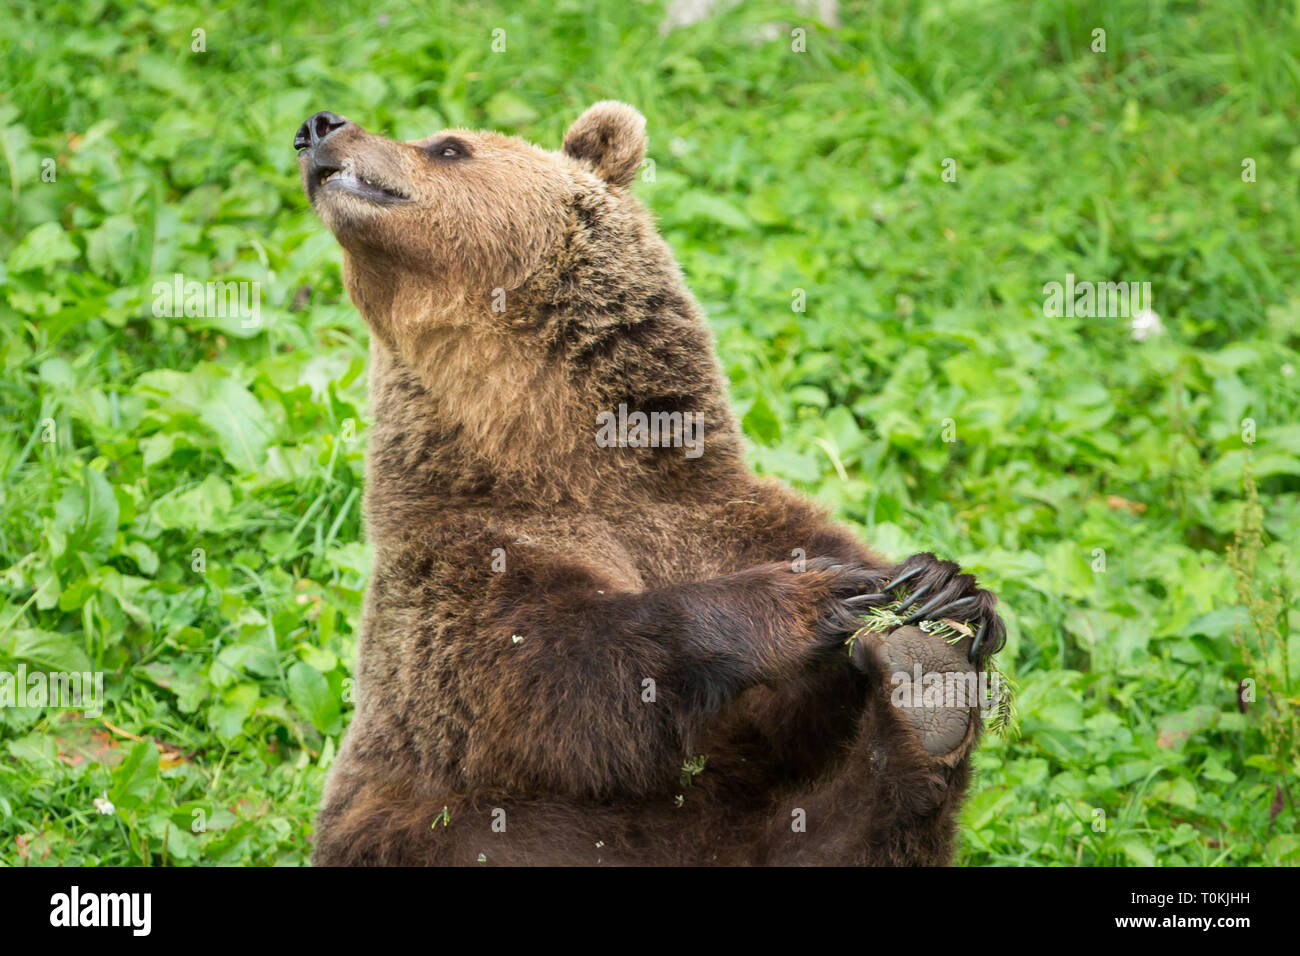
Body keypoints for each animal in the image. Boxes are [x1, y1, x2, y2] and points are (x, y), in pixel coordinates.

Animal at [292, 98, 1003, 868]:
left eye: (447, 146)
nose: (319, 127)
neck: (553, 449)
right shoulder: (456, 563)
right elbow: (552, 671)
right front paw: (814, 596)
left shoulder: (716, 515)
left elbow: (796, 713)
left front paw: (943, 587)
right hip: (420, 827)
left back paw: (925, 689)